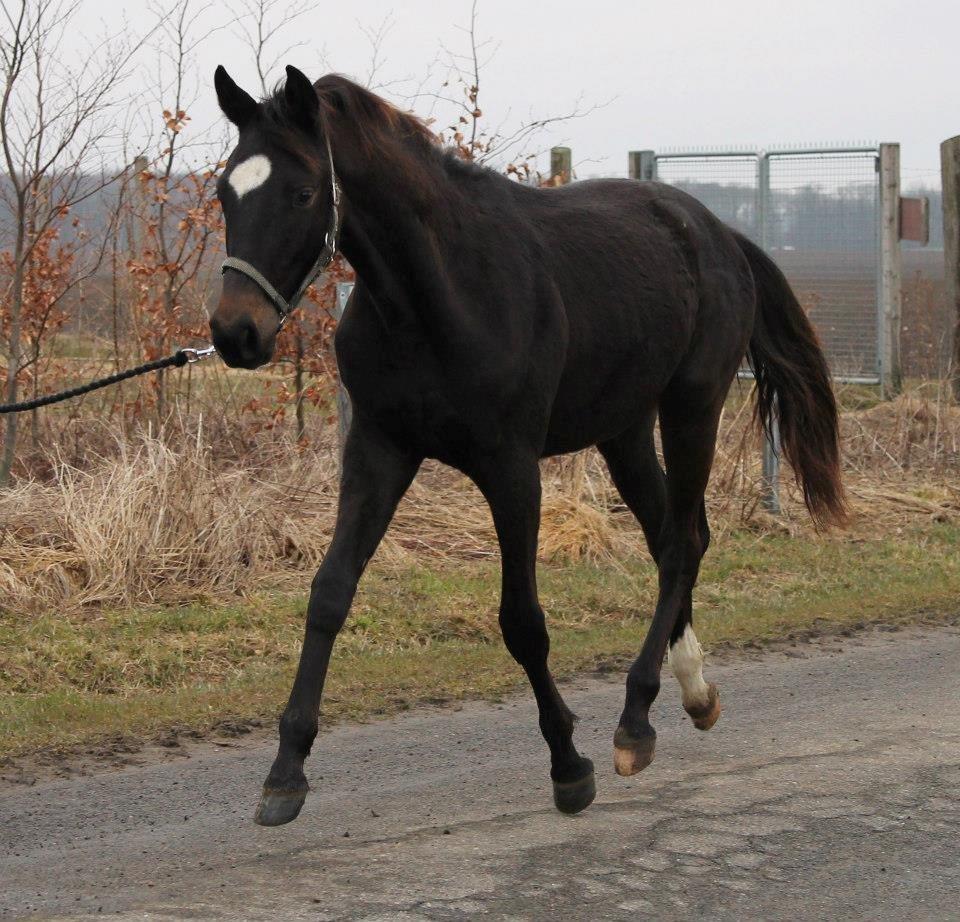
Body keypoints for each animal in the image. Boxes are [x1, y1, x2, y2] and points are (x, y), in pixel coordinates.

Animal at [208, 64, 840, 828]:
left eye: (302, 193)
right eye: (225, 191)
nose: (235, 333)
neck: (438, 297)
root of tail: (722, 235)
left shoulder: (510, 469)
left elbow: (522, 621)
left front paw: (569, 765)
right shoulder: (379, 450)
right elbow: (330, 592)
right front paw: (285, 773)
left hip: (693, 408)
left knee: (683, 541)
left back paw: (636, 721)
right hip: (625, 431)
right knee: (674, 538)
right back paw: (692, 692)